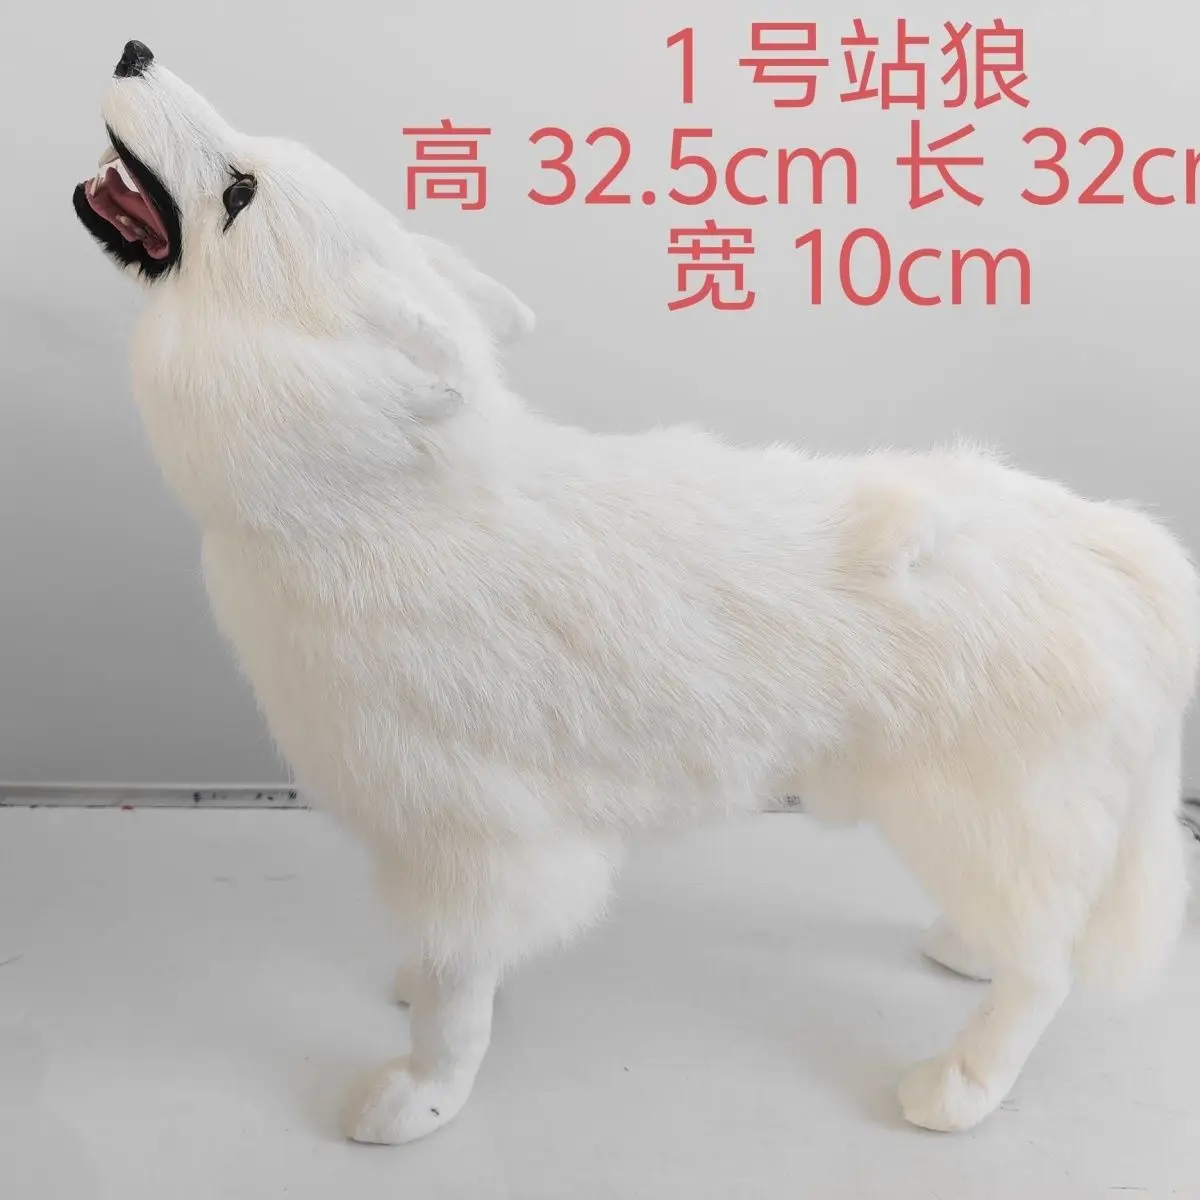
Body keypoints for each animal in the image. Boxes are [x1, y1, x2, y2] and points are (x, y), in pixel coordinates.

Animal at [75, 40, 1198, 1145]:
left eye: (239, 192)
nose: (133, 49)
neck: (364, 496)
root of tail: (1119, 549)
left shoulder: (478, 838)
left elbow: (456, 999)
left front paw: (424, 1096)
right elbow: (456, 967)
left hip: (984, 812)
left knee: (1048, 972)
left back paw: (962, 1085)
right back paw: (968, 948)